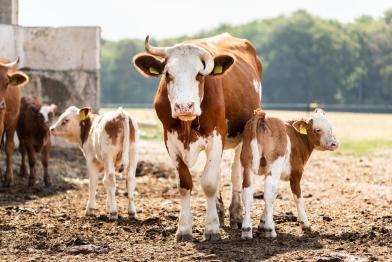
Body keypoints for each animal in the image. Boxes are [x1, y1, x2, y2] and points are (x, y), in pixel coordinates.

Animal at [133, 33, 262, 242]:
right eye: (168, 74)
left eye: (200, 75)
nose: (185, 107)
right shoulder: (170, 140)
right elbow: (185, 183)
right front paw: (184, 229)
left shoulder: (216, 136)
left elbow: (209, 183)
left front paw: (211, 229)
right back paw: (219, 210)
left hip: (242, 135)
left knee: (235, 172)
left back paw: (236, 214)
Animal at [240, 108, 338, 239]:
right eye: (317, 129)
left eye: (330, 127)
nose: (334, 144)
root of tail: (262, 117)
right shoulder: (296, 174)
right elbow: (298, 197)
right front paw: (305, 223)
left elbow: (274, 195)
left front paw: (262, 222)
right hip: (275, 162)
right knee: (269, 191)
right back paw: (270, 230)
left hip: (247, 162)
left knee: (248, 192)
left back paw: (246, 230)